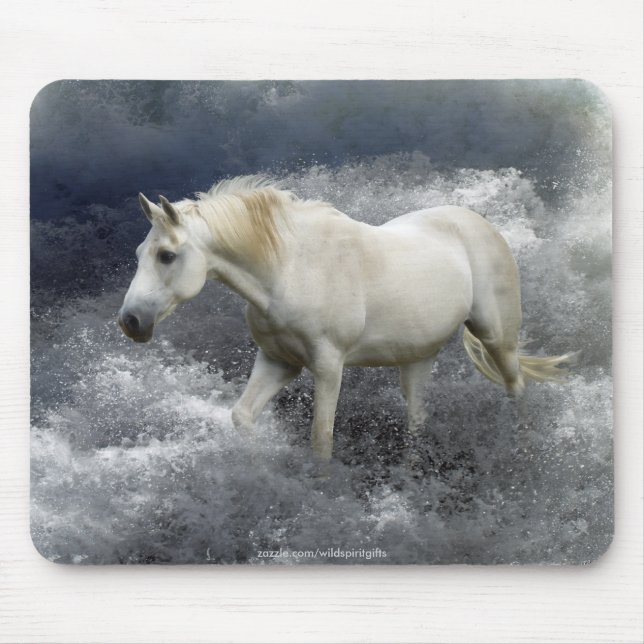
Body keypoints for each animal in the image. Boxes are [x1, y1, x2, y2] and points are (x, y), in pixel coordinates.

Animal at [118, 176, 574, 462]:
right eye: (140, 254)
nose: (130, 321)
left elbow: (321, 439)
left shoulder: (327, 366)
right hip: (417, 357)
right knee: (417, 418)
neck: (289, 269)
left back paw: (522, 443)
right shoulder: (278, 362)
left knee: (515, 386)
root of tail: (482, 225)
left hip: (496, 336)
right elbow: (242, 417)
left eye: (167, 256)